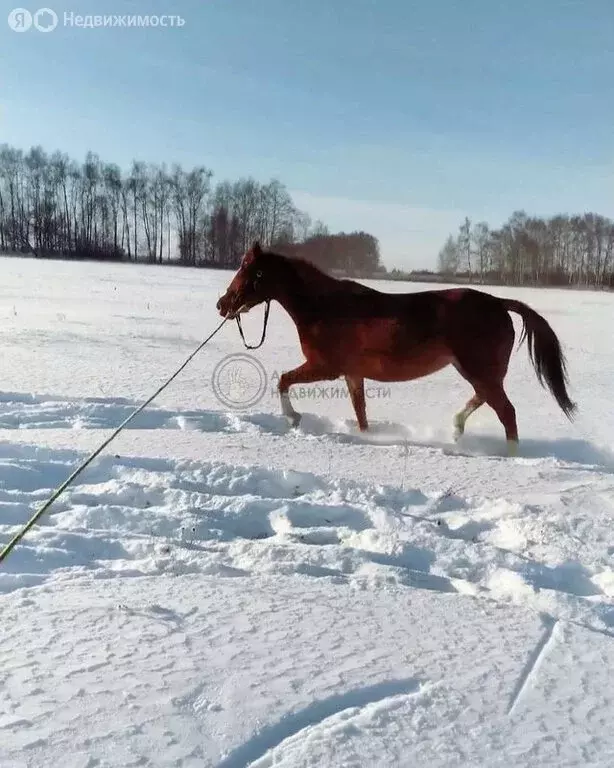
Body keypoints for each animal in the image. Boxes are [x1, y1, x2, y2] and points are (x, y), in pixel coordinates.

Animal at [217, 243, 576, 452]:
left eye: (247, 271)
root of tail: (499, 302)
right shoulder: (352, 374)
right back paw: (456, 429)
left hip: (479, 370)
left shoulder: (326, 368)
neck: (323, 308)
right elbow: (361, 412)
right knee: (485, 400)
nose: (222, 305)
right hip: (474, 370)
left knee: (506, 412)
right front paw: (366, 437)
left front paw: (293, 418)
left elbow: (283, 380)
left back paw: (509, 455)